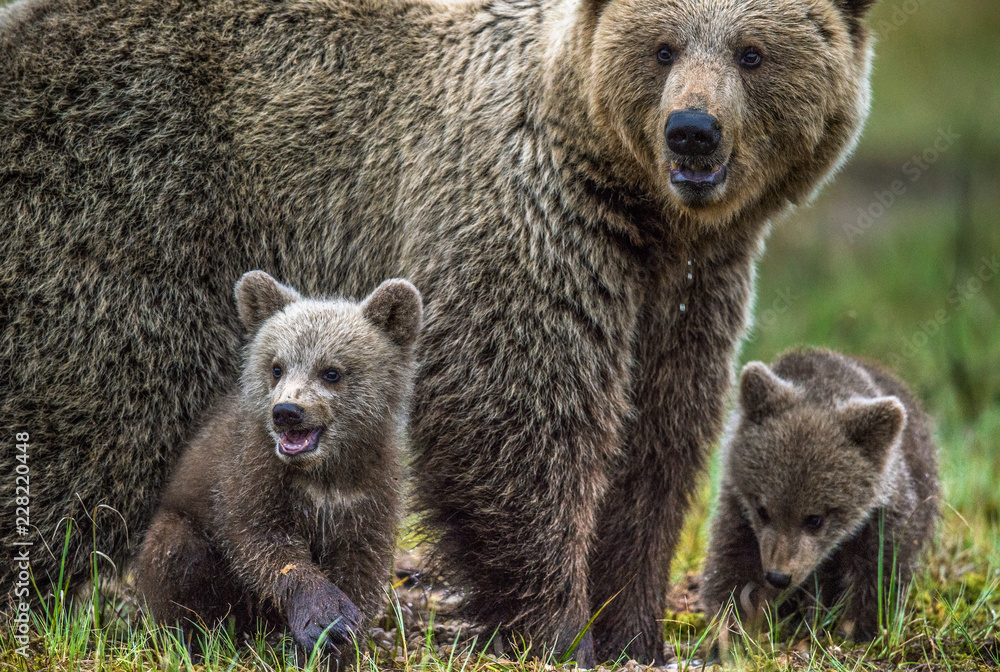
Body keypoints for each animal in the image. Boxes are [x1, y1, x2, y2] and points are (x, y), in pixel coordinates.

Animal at [133, 271, 422, 656]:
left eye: (331, 371)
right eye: (276, 367)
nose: (287, 411)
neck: (325, 473)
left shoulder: (372, 494)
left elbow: (362, 568)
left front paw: (343, 644)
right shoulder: (249, 474)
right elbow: (262, 543)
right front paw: (326, 618)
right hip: (182, 528)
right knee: (176, 553)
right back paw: (197, 638)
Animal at [701, 348, 939, 644]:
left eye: (814, 519)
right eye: (762, 510)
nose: (779, 576)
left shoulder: (882, 517)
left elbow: (881, 569)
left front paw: (860, 629)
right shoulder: (739, 508)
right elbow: (733, 565)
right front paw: (730, 629)